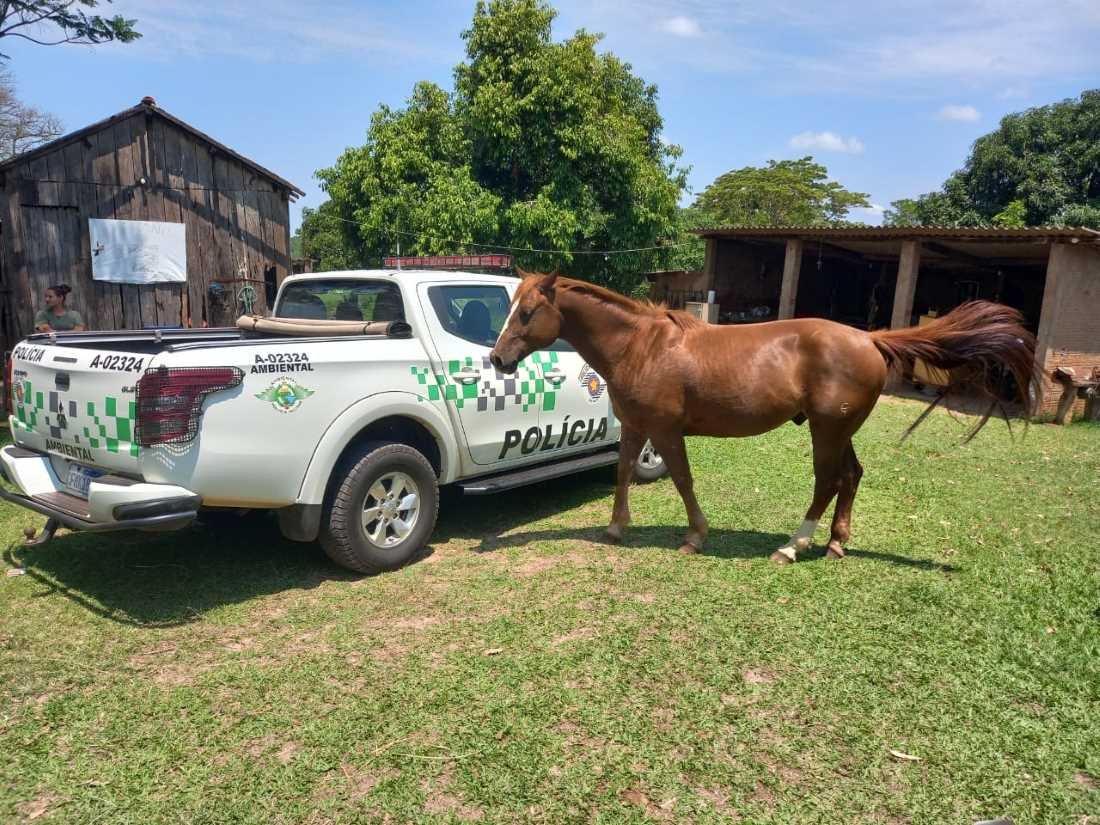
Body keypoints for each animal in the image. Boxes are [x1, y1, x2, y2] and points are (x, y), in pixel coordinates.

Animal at [490, 275, 1038, 567]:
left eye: (528, 312)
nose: (497, 359)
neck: (641, 346)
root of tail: (870, 338)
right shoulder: (637, 428)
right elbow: (623, 473)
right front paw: (615, 528)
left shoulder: (665, 431)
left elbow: (684, 481)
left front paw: (695, 536)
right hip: (840, 431)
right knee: (852, 477)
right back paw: (835, 544)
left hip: (826, 431)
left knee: (827, 481)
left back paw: (794, 546)